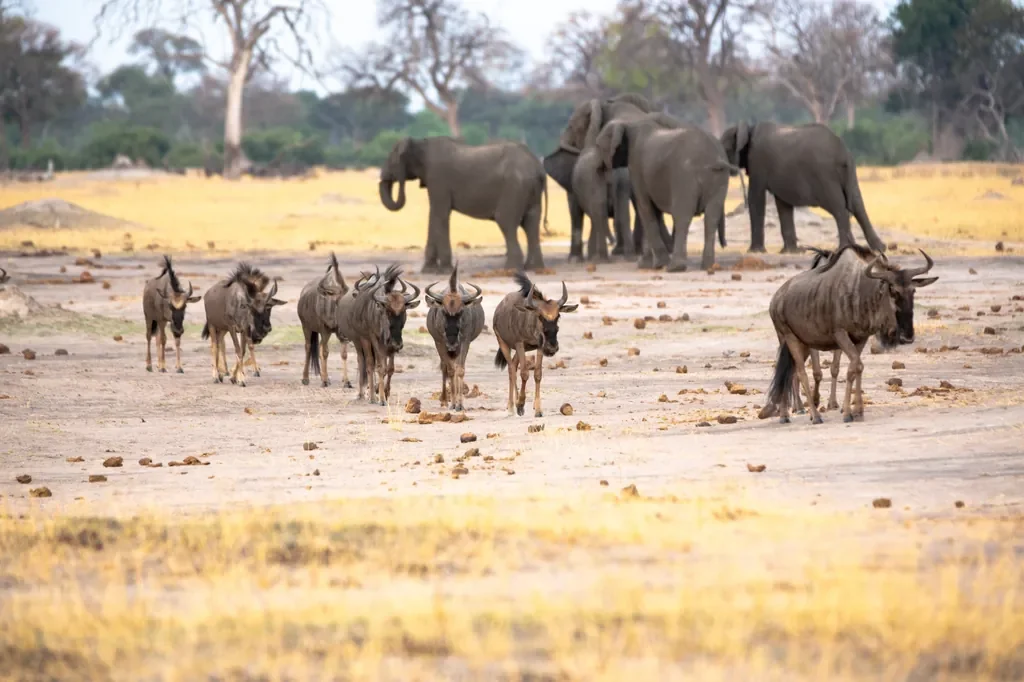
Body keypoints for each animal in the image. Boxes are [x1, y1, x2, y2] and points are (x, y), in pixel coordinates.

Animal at [378, 136, 547, 273]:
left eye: (392, 161)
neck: (421, 143)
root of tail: (538, 167)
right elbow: (434, 215)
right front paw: (428, 271)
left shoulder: (438, 178)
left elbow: (440, 214)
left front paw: (444, 271)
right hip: (530, 190)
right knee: (531, 222)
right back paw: (535, 268)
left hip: (514, 187)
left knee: (506, 221)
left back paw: (511, 269)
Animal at [596, 113, 731, 272]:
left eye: (598, 146)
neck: (629, 123)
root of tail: (714, 159)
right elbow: (654, 212)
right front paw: (647, 264)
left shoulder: (636, 165)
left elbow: (645, 209)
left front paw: (653, 265)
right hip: (720, 178)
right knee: (711, 217)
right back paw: (709, 266)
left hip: (684, 176)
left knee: (682, 216)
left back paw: (675, 268)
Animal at [720, 121, 886, 254]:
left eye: (726, 150)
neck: (748, 128)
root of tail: (842, 151)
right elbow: (783, 204)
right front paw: (790, 252)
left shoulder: (758, 162)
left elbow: (756, 198)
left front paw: (755, 252)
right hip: (849, 172)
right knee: (858, 205)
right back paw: (879, 248)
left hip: (824, 176)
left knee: (839, 208)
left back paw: (844, 249)